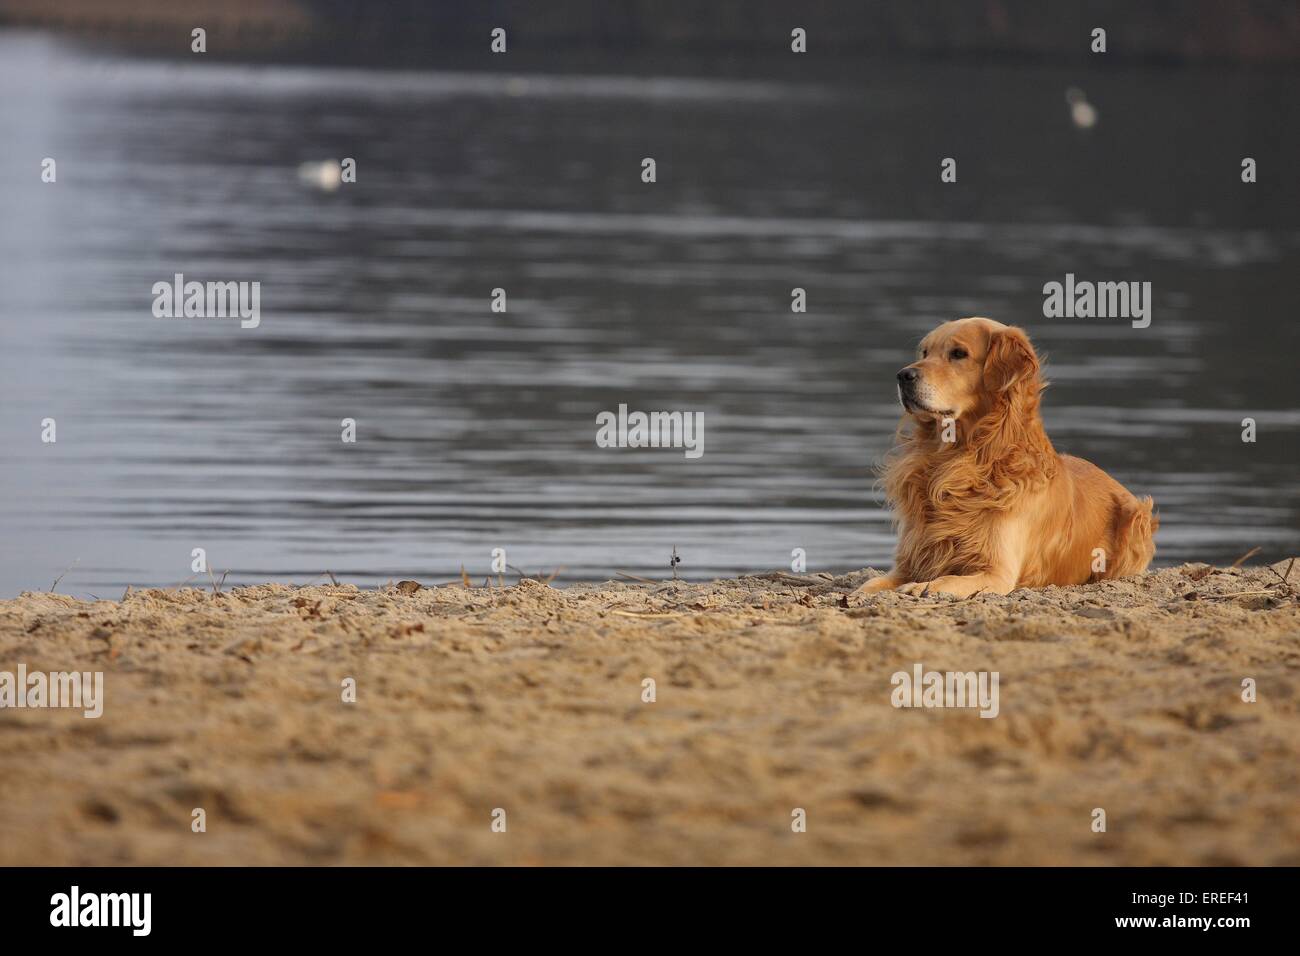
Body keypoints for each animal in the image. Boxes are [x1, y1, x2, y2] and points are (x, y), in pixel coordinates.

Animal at [857, 317, 1154, 595]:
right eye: (925, 352)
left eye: (958, 353)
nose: (903, 375)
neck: (961, 458)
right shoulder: (909, 561)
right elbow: (871, 583)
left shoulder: (997, 572)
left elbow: (947, 579)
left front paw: (921, 587)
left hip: (1136, 522)